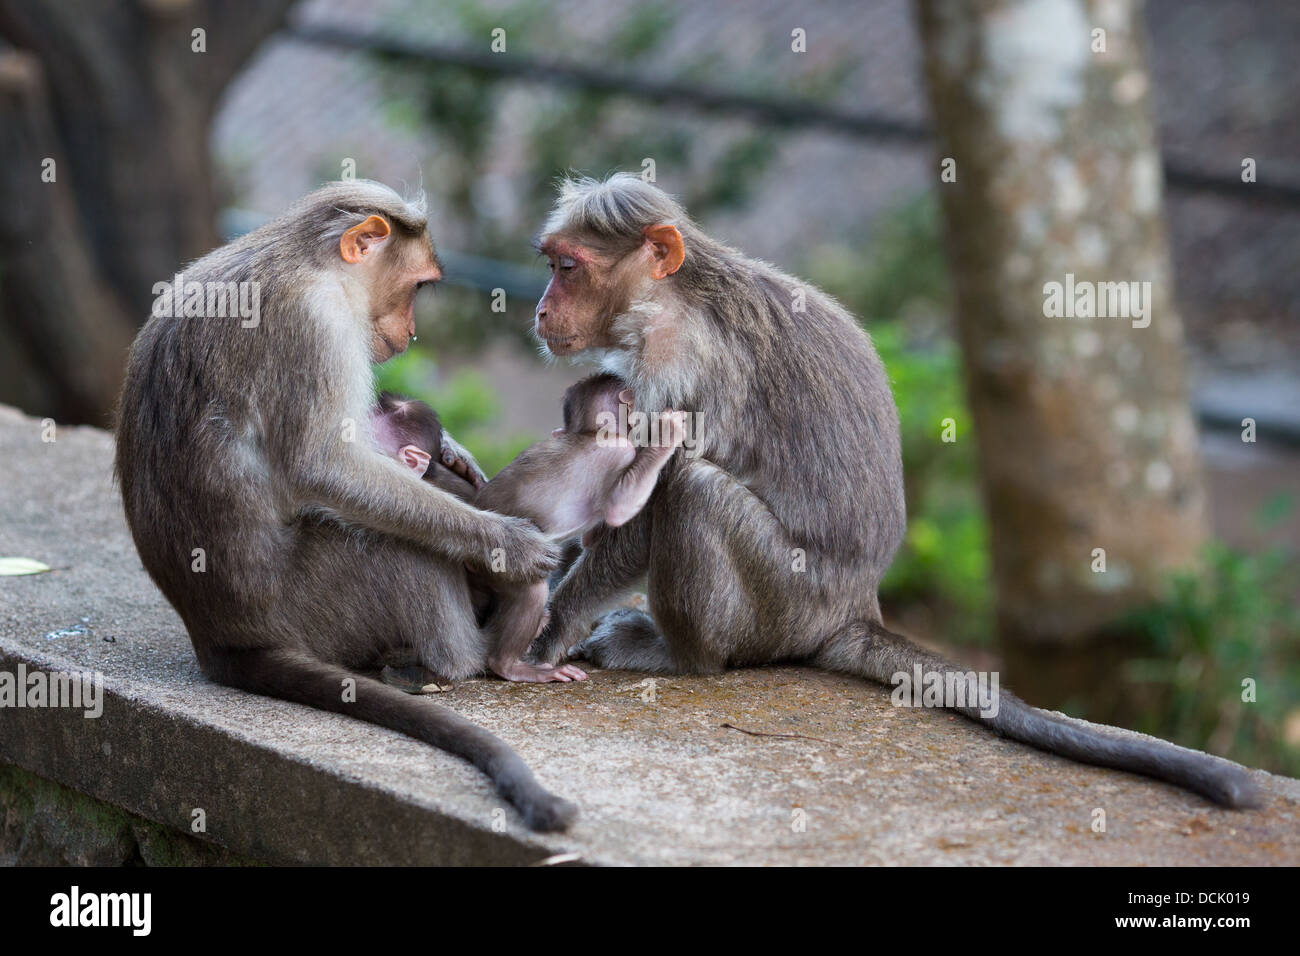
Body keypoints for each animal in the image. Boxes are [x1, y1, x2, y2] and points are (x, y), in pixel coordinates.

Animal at [114, 180, 576, 832]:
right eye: (417, 286)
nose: (411, 333)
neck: (306, 259)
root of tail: (216, 637)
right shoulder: (316, 323)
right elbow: (324, 464)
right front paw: (507, 543)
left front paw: (455, 454)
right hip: (309, 605)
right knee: (398, 547)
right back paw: (469, 658)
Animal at [370, 377, 686, 683]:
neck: (590, 432)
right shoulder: (619, 452)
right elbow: (618, 507)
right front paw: (666, 436)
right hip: (497, 565)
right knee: (531, 590)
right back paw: (509, 665)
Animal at [526, 172, 1262, 810]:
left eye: (567, 266)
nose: (539, 306)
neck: (674, 298)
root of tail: (853, 608)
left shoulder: (673, 368)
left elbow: (637, 508)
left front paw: (556, 624)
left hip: (782, 601)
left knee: (693, 488)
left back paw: (681, 656)